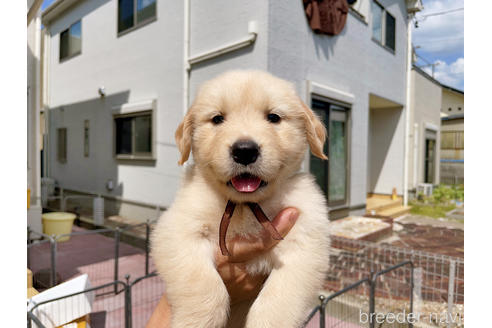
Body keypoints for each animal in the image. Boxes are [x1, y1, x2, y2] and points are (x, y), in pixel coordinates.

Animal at [151, 70, 330, 326]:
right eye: (217, 119)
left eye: (273, 117)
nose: (245, 151)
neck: (245, 205)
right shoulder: (176, 229)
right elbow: (202, 285)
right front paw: (198, 320)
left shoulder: (306, 243)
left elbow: (277, 303)